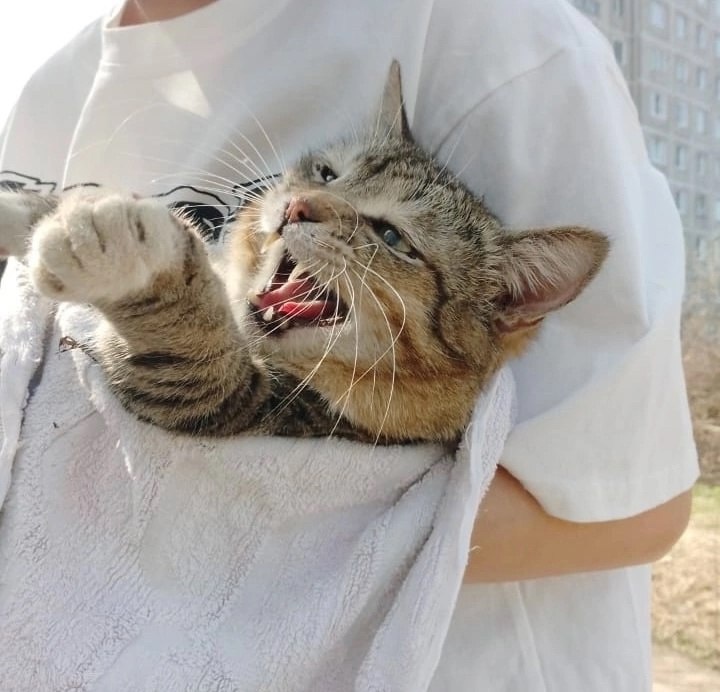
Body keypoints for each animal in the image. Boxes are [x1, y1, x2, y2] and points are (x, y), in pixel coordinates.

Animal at [0, 63, 608, 444]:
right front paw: (29, 210)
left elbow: (192, 344)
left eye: (393, 238)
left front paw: (130, 254)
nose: (296, 206)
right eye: (328, 173)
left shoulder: (251, 404)